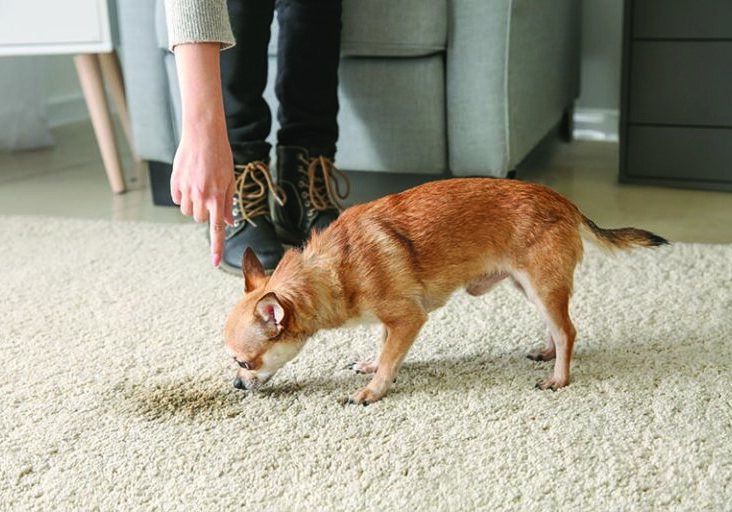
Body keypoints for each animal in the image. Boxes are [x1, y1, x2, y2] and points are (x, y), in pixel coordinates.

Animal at [224, 178, 668, 406]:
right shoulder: (391, 320)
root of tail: (566, 202)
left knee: (567, 331)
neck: (331, 270)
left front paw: (374, 390)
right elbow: (384, 346)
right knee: (555, 328)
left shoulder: (408, 318)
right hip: (529, 286)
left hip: (543, 284)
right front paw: (372, 364)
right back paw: (547, 353)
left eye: (245, 363)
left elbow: (391, 358)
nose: (236, 386)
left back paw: (559, 377)